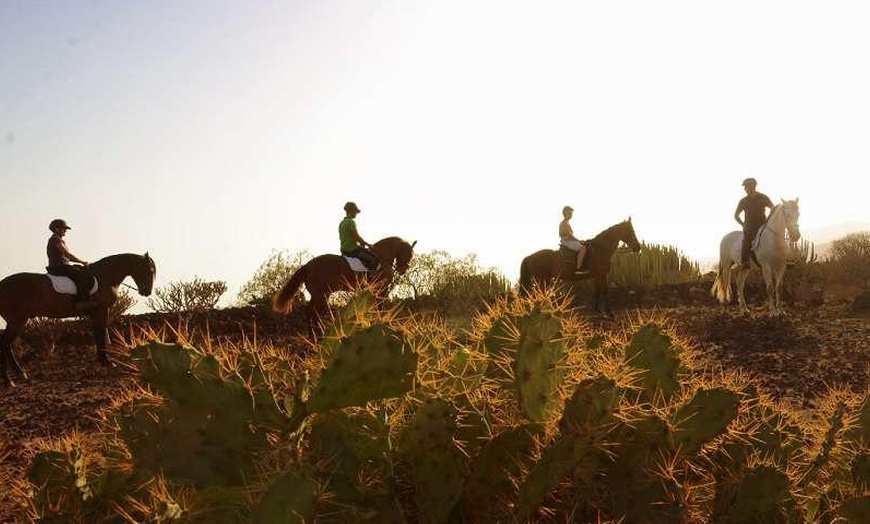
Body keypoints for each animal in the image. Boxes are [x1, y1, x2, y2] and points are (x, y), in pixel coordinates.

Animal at [0, 252, 157, 386]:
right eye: (150, 270)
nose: (146, 292)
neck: (104, 276)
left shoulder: (97, 313)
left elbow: (99, 335)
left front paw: (103, 361)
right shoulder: (100, 311)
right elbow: (100, 335)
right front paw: (107, 362)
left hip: (16, 321)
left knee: (7, 345)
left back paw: (20, 374)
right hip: (17, 320)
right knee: (5, 344)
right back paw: (9, 380)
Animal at [276, 236, 418, 336]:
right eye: (407, 253)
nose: (402, 270)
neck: (382, 258)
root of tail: (308, 265)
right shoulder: (381, 289)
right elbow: (379, 307)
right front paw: (381, 321)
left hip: (317, 296)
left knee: (310, 312)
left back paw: (314, 337)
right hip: (322, 296)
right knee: (315, 314)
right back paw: (320, 336)